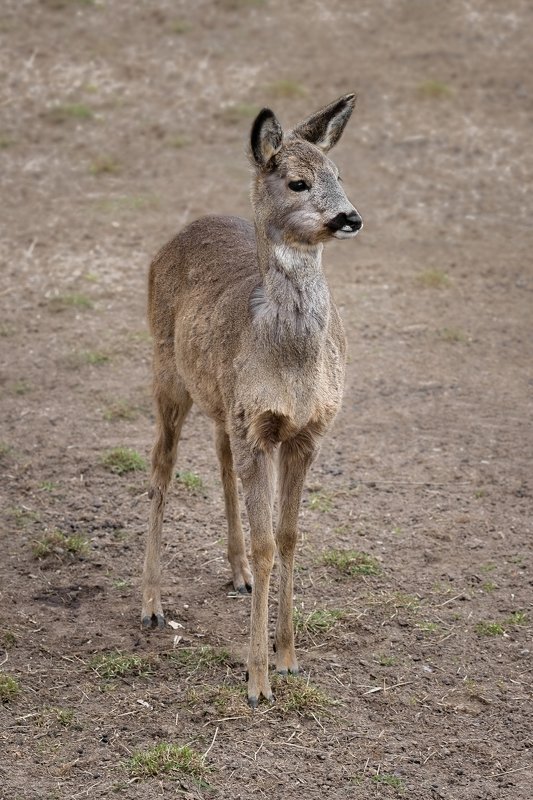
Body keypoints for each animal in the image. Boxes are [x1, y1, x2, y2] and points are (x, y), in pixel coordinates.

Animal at [141, 93, 362, 707]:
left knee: (218, 460)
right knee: (161, 467)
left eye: (338, 173)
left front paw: (288, 659)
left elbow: (288, 537)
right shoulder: (258, 425)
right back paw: (150, 605)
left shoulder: (307, 431)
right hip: (166, 370)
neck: (290, 362)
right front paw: (257, 680)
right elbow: (269, 543)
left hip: (220, 401)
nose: (350, 217)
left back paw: (236, 574)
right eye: (296, 182)